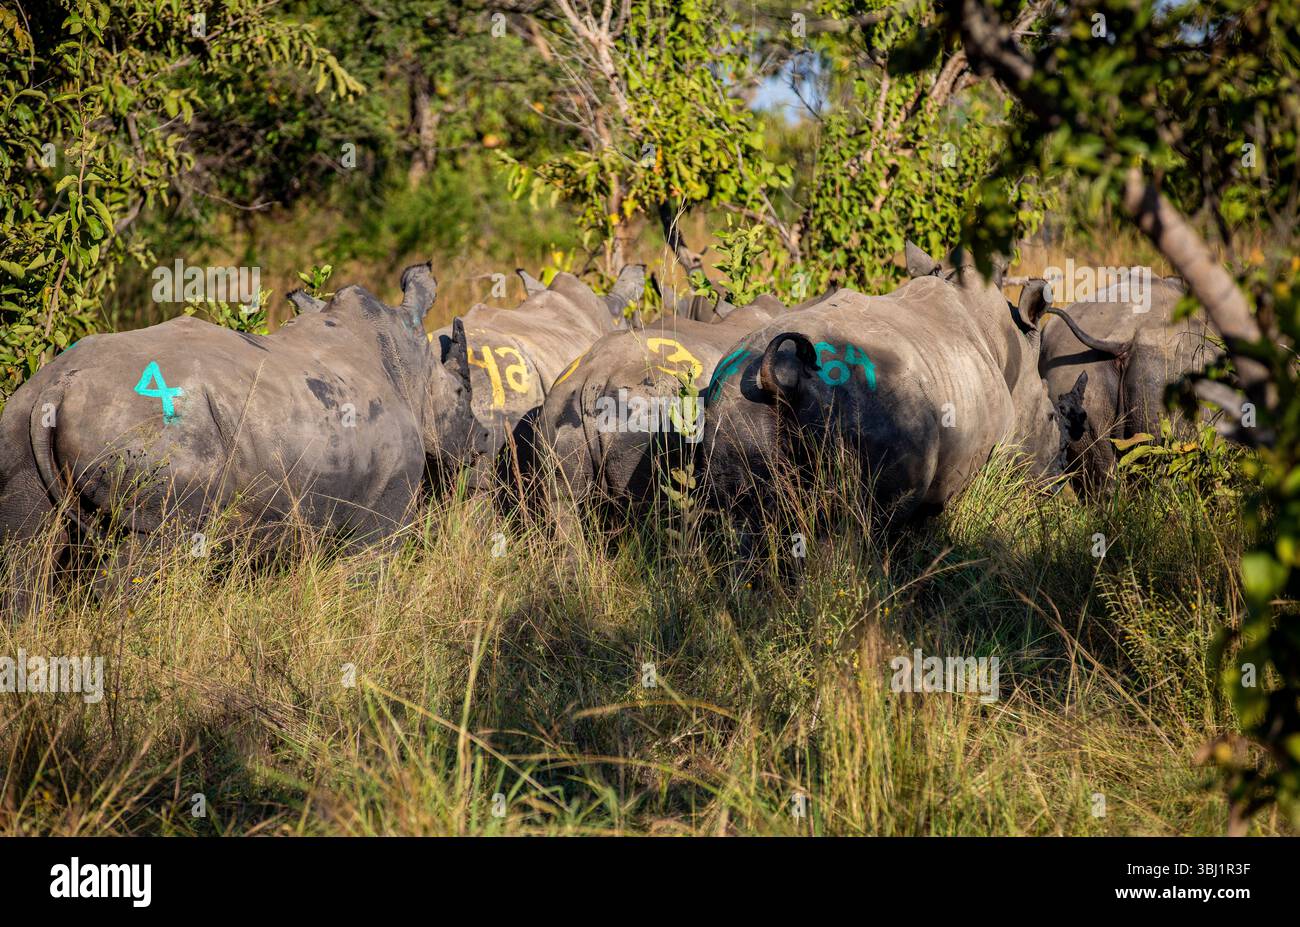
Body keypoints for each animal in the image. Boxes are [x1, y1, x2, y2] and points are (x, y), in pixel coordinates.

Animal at [0, 265, 439, 609]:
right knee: (146, 558)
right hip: (152, 435)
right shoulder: (388, 502)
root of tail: (59, 386)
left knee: (22, 548)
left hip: (21, 416)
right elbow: (369, 579)